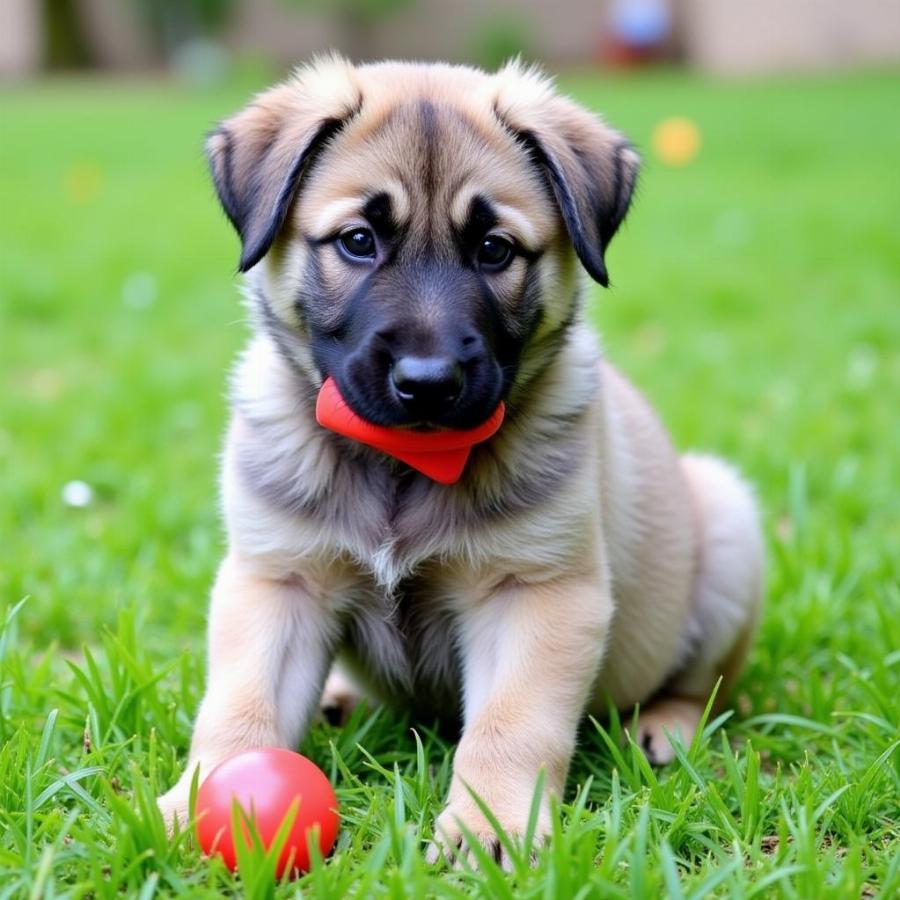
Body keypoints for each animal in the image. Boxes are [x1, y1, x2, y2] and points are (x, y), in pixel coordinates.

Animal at [158, 54, 764, 864]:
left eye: (493, 250)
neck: (403, 466)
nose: (428, 382)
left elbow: (510, 727)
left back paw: (664, 728)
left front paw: (490, 827)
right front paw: (196, 800)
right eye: (358, 241)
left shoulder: (534, 595)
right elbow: (238, 704)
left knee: (705, 686)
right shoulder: (278, 582)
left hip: (726, 524)